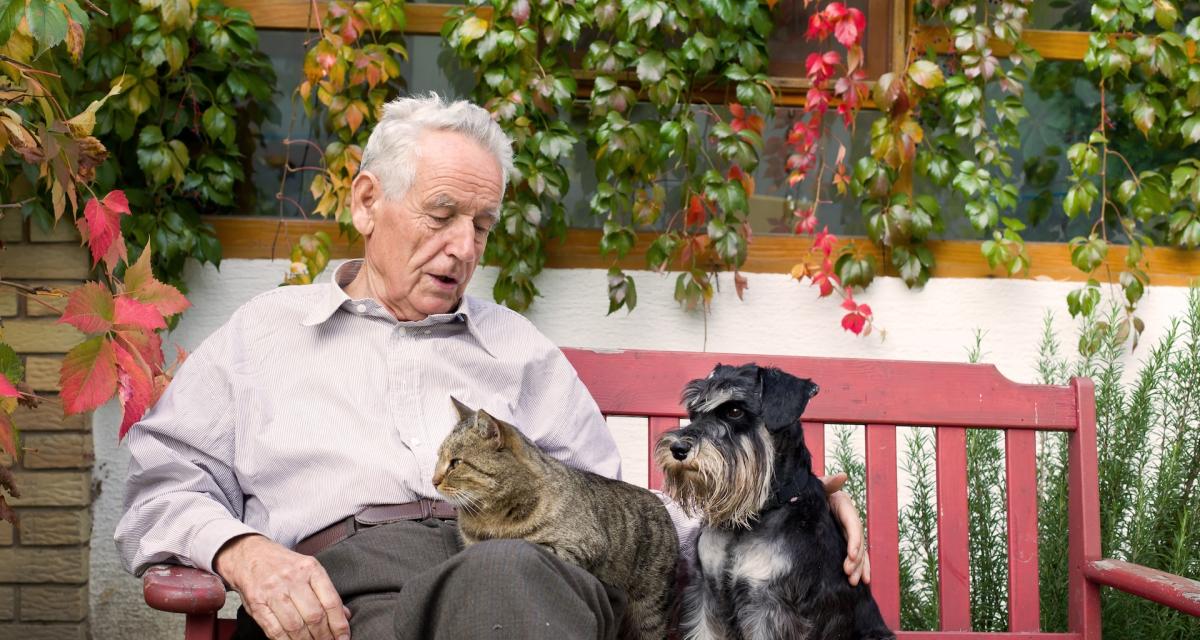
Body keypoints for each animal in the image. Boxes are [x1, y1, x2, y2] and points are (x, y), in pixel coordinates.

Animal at [434, 396, 681, 633]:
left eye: (455, 462)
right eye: (438, 459)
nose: (433, 481)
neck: (490, 516)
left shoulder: (578, 547)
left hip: (650, 609)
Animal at [652, 362, 897, 638]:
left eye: (734, 410)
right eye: (694, 413)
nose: (678, 449)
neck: (755, 514)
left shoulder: (769, 605)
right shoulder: (707, 593)